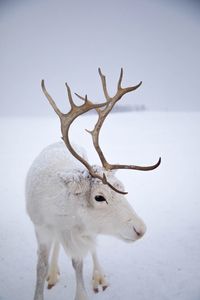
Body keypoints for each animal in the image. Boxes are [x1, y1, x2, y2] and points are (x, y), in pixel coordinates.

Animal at [25, 68, 161, 300]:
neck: (62, 216)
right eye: (99, 197)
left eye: (122, 188)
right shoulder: (41, 228)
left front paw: (83, 292)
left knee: (93, 250)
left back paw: (98, 276)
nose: (141, 229)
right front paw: (44, 279)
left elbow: (79, 263)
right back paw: (53, 273)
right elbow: (39, 267)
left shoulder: (80, 234)